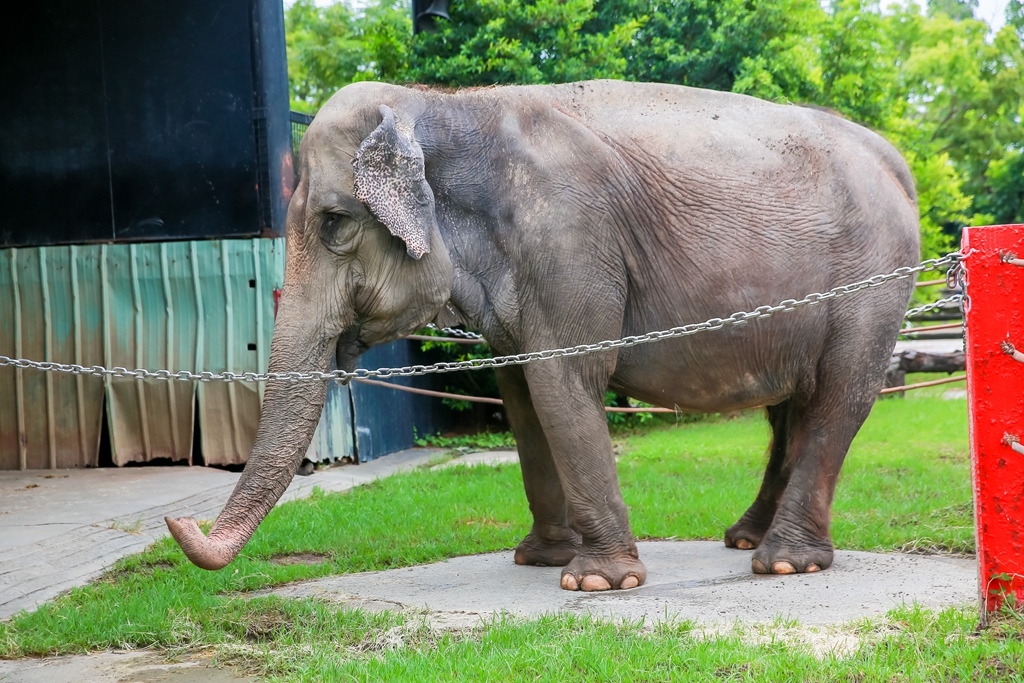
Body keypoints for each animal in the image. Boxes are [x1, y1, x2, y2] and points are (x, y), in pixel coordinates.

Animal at [165, 78, 921, 593]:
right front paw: (539, 557)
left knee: (840, 394)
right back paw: (744, 539)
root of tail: (897, 160)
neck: (442, 104)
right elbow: (521, 392)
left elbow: (562, 380)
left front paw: (597, 581)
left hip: (872, 280)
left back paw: (786, 562)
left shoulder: (570, 238)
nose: (181, 525)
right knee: (790, 407)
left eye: (333, 223)